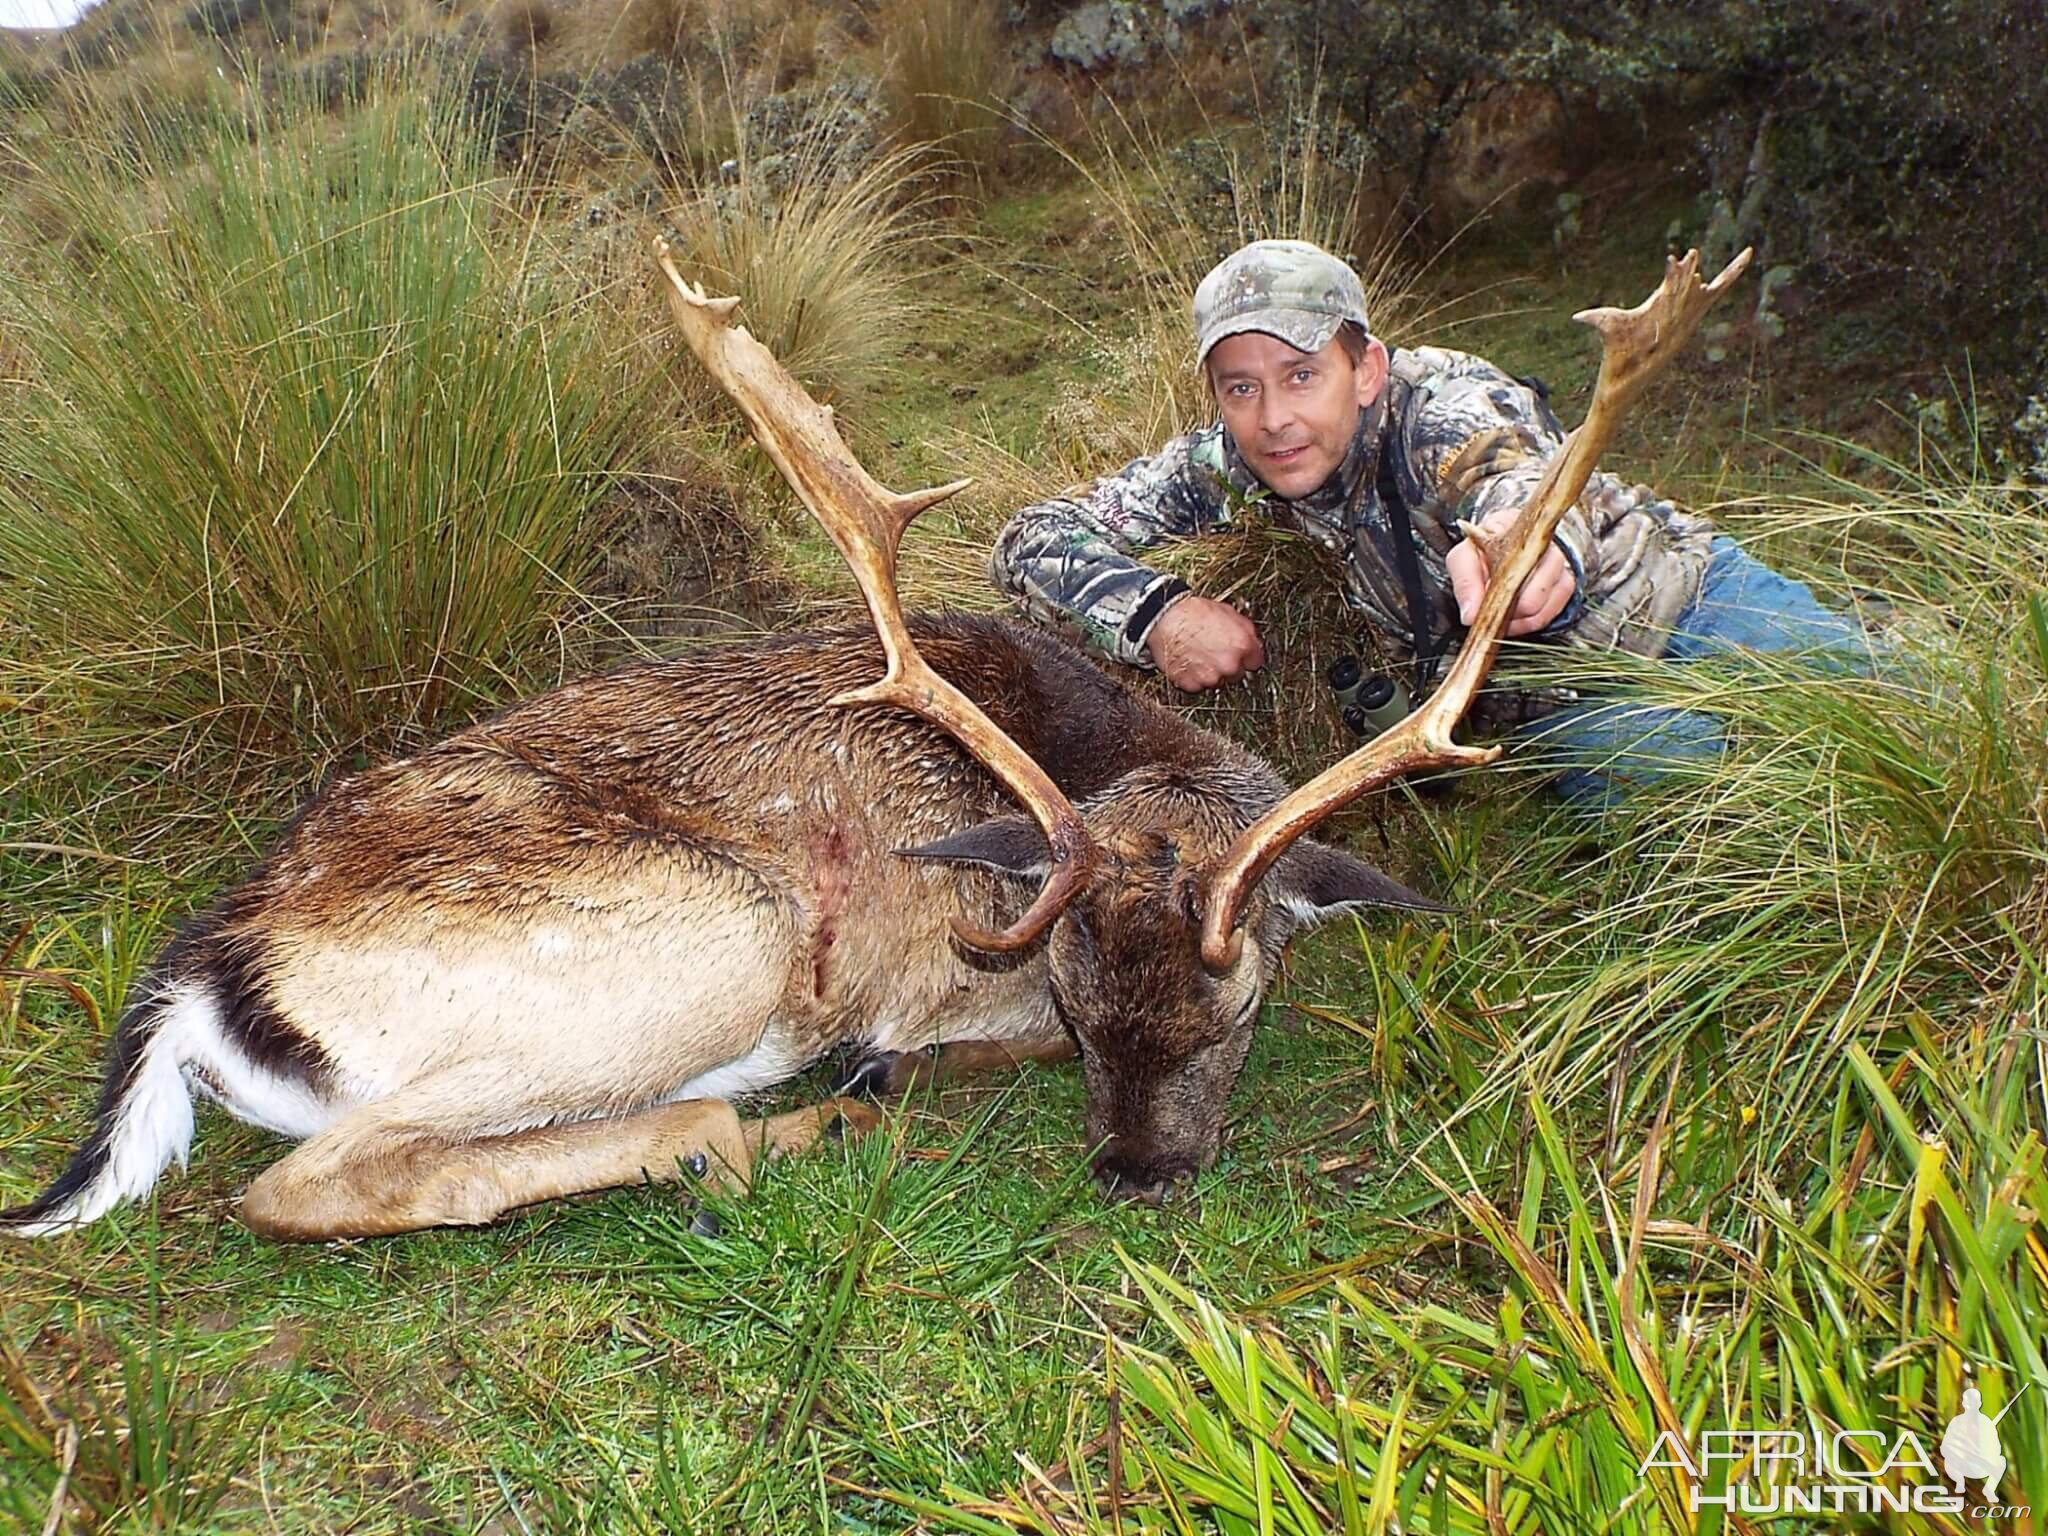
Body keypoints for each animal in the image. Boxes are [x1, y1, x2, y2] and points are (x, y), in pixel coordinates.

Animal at [0, 246, 1753, 1245]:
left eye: (1239, 1004)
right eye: (1075, 1004)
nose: (1135, 1176)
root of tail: (205, 973)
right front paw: (884, 1070)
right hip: (715, 934)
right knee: (307, 1186)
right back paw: (758, 1128)